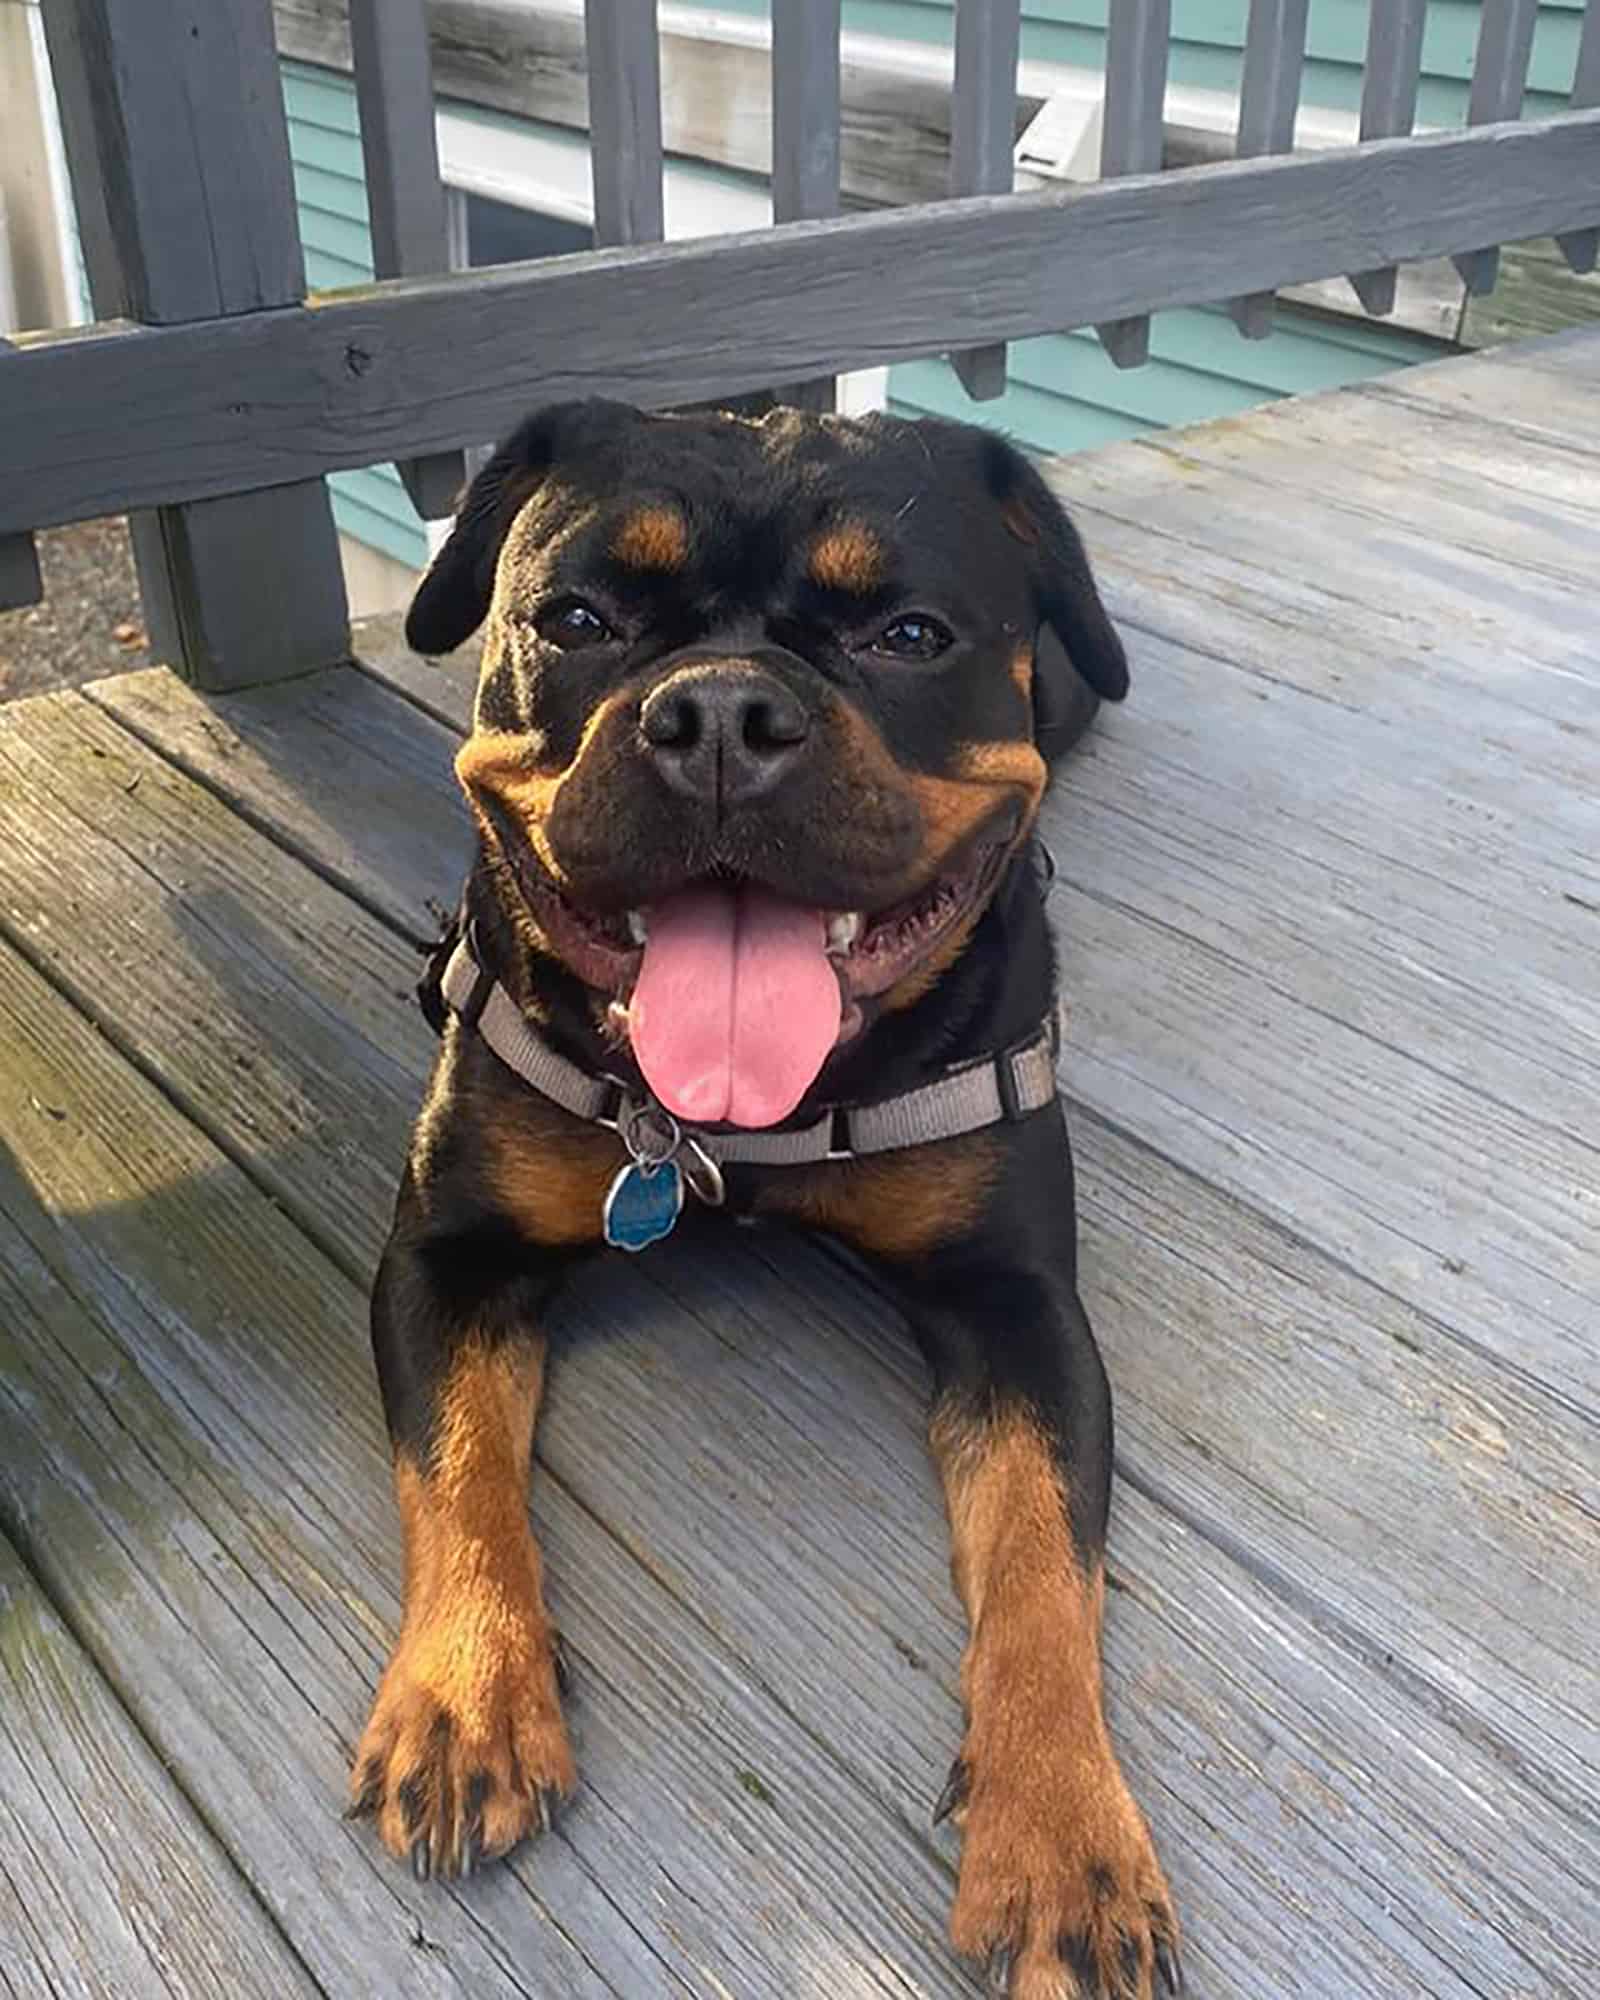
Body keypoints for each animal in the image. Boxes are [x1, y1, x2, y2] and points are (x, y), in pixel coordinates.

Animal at [346, 398, 1176, 1992]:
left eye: (911, 634)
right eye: (577, 619)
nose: (721, 712)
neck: (736, 1126)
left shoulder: (1022, 1310)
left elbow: (1047, 1565)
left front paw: (1061, 1832)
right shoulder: (442, 1256)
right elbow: (456, 1467)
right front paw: (468, 1690)